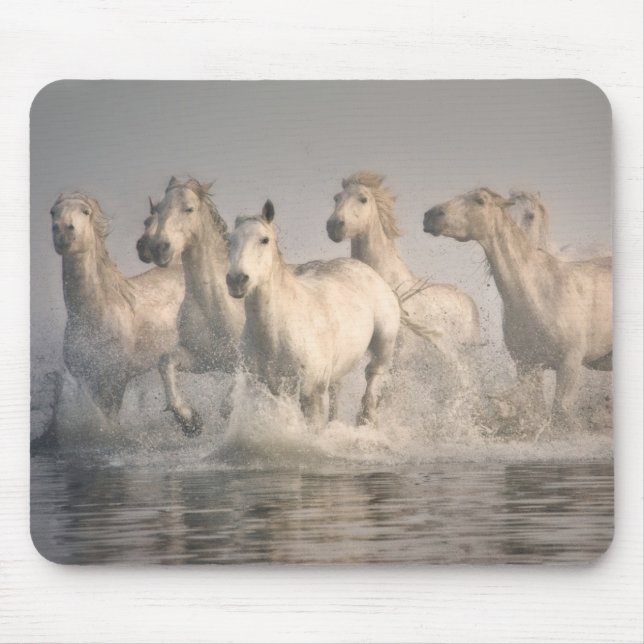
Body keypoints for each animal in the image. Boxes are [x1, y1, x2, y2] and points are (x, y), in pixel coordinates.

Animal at [50, 192, 184, 421]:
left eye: (85, 211)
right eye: (52, 212)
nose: (62, 231)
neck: (93, 316)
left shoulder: (115, 380)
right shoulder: (86, 380)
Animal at [148, 177, 245, 436]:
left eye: (188, 209)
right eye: (158, 209)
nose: (159, 247)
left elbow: (228, 404)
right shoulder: (202, 359)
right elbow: (165, 362)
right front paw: (189, 420)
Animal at [226, 200, 400, 430]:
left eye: (264, 240)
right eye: (230, 240)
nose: (236, 280)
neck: (275, 334)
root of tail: (368, 271)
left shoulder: (312, 395)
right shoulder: (267, 391)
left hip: (383, 346)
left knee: (373, 378)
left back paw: (365, 420)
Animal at [423, 187, 612, 425]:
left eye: (480, 200)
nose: (430, 216)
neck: (539, 293)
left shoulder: (569, 365)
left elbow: (559, 413)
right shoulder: (527, 366)